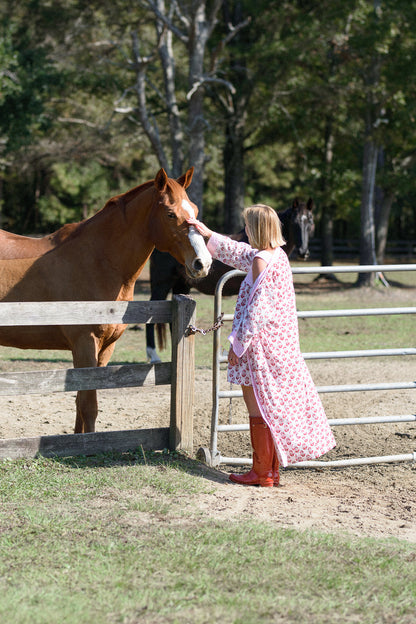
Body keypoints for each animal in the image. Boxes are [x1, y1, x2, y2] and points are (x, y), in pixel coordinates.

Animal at [0, 168, 210, 436]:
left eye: (194, 209)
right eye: (171, 213)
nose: (203, 263)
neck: (98, 260)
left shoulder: (105, 348)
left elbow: (80, 402)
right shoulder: (84, 344)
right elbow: (88, 406)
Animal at [145, 195, 312, 360]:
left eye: (310, 222)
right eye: (295, 222)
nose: (303, 252)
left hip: (182, 285)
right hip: (162, 284)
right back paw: (153, 355)